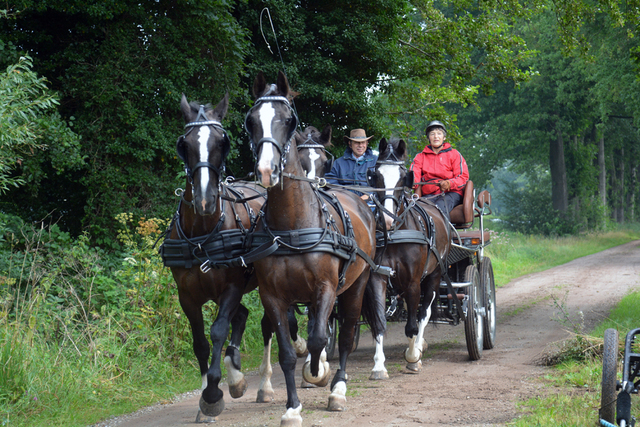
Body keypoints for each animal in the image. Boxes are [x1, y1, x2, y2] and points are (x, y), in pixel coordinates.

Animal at [162, 94, 268, 422]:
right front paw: (207, 398)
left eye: (223, 141)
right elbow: (200, 342)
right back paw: (236, 375)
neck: (202, 235)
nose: (205, 200)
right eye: (184, 144)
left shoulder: (231, 288)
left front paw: (212, 394)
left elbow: (218, 330)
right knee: (243, 316)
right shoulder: (187, 295)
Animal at [244, 72, 384, 426]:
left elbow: (321, 337)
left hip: (357, 285)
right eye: (251, 120)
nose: (266, 170)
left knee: (346, 333)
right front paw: (292, 407)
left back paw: (338, 388)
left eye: (288, 120)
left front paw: (318, 374)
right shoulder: (272, 295)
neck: (293, 226)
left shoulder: (326, 287)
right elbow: (286, 349)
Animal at [362, 137, 452, 378]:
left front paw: (413, 358)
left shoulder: (413, 282)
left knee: (424, 313)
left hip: (434, 275)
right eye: (376, 175)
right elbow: (379, 322)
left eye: (404, 177)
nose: (387, 219)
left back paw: (418, 347)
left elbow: (413, 324)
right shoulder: (378, 278)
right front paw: (378, 366)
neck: (396, 234)